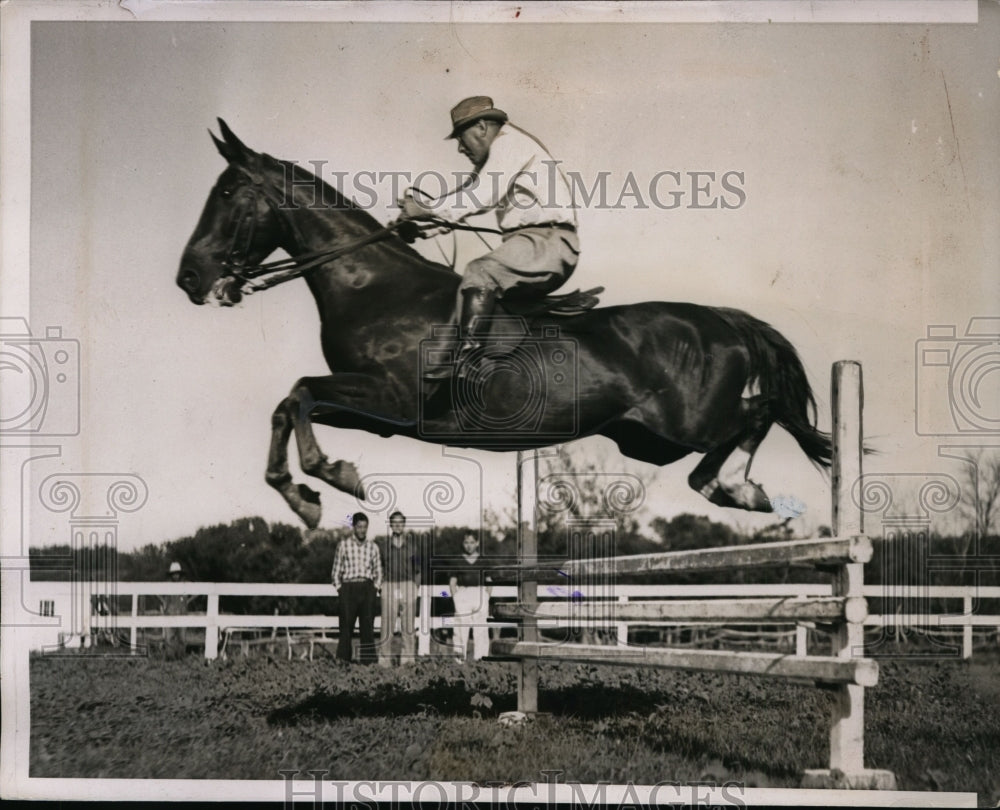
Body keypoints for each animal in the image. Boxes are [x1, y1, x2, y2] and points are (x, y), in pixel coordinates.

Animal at [177, 119, 832, 530]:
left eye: (229, 192)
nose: (189, 278)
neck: (372, 287)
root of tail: (725, 319)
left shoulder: (392, 398)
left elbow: (300, 395)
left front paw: (333, 478)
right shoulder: (375, 414)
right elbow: (291, 402)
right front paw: (304, 498)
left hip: (686, 423)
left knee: (757, 415)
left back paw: (740, 487)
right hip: (647, 439)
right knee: (731, 441)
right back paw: (737, 489)